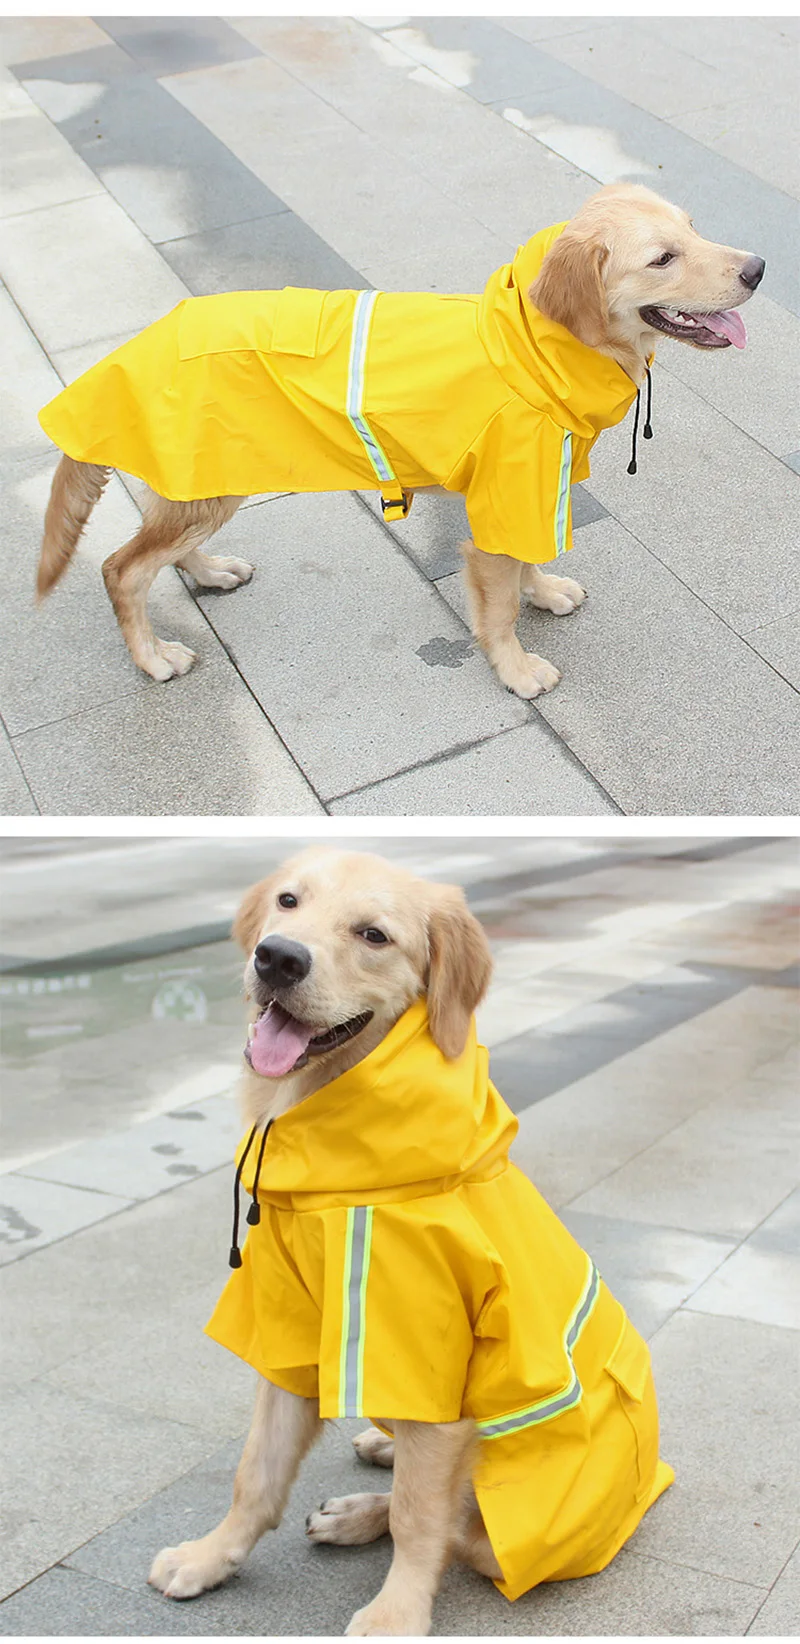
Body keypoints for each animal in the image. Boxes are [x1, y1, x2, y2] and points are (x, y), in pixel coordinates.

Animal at [37, 186, 765, 700]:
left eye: (694, 228)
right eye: (662, 257)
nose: (759, 267)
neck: (529, 350)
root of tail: (127, 352)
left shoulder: (529, 493)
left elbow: (526, 564)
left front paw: (544, 591)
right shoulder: (505, 495)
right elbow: (499, 604)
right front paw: (516, 668)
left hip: (205, 477)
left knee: (160, 547)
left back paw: (210, 572)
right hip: (205, 487)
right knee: (123, 569)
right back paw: (153, 656)